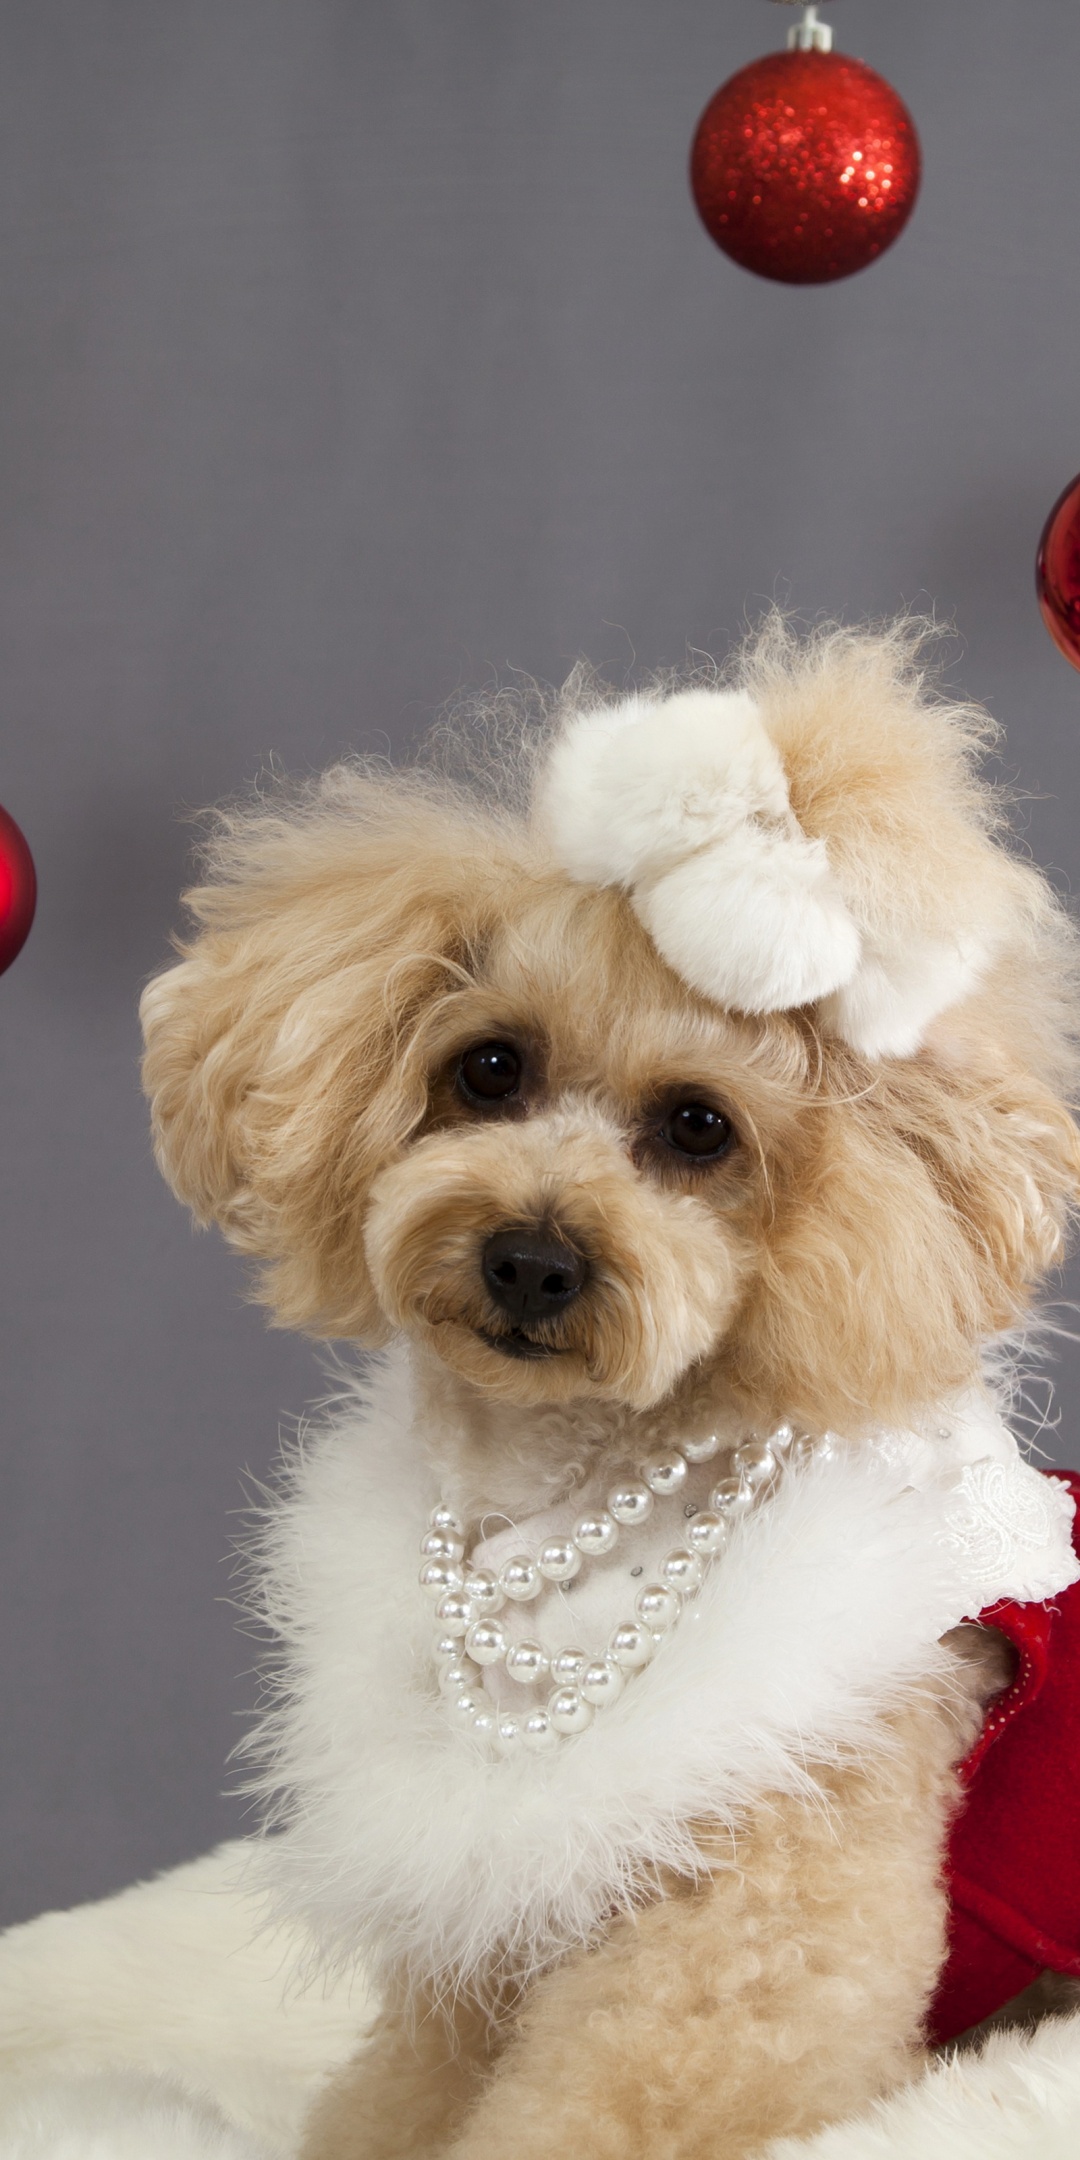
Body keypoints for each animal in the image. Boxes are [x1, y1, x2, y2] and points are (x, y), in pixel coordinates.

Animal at [141, 626, 1080, 2160]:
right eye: (489, 1067)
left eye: (698, 1128)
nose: (531, 1258)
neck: (569, 1502)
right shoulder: (496, 1915)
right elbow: (407, 2090)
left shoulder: (753, 1911)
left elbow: (626, 2092)